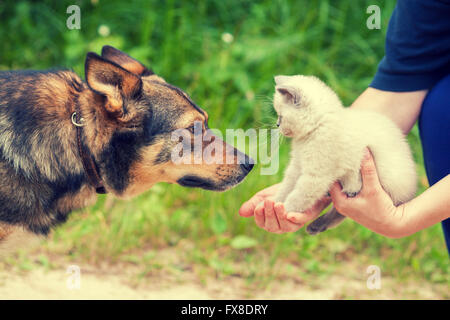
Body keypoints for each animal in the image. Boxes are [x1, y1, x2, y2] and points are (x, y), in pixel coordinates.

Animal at [274, 75, 418, 235]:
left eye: (281, 116)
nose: (277, 125)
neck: (317, 128)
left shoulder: (316, 176)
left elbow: (298, 196)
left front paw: (284, 212)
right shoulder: (298, 166)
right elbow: (287, 186)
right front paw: (275, 204)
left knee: (342, 210)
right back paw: (317, 225)